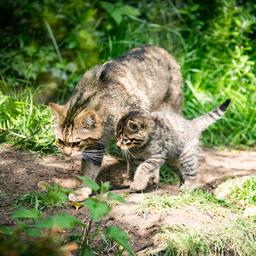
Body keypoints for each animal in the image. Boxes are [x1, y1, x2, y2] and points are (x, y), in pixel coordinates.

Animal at [49, 45, 183, 200]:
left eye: (76, 143)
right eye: (60, 141)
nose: (67, 155)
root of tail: (160, 49)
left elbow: (136, 156)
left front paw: (137, 179)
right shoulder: (95, 144)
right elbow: (90, 168)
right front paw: (83, 190)